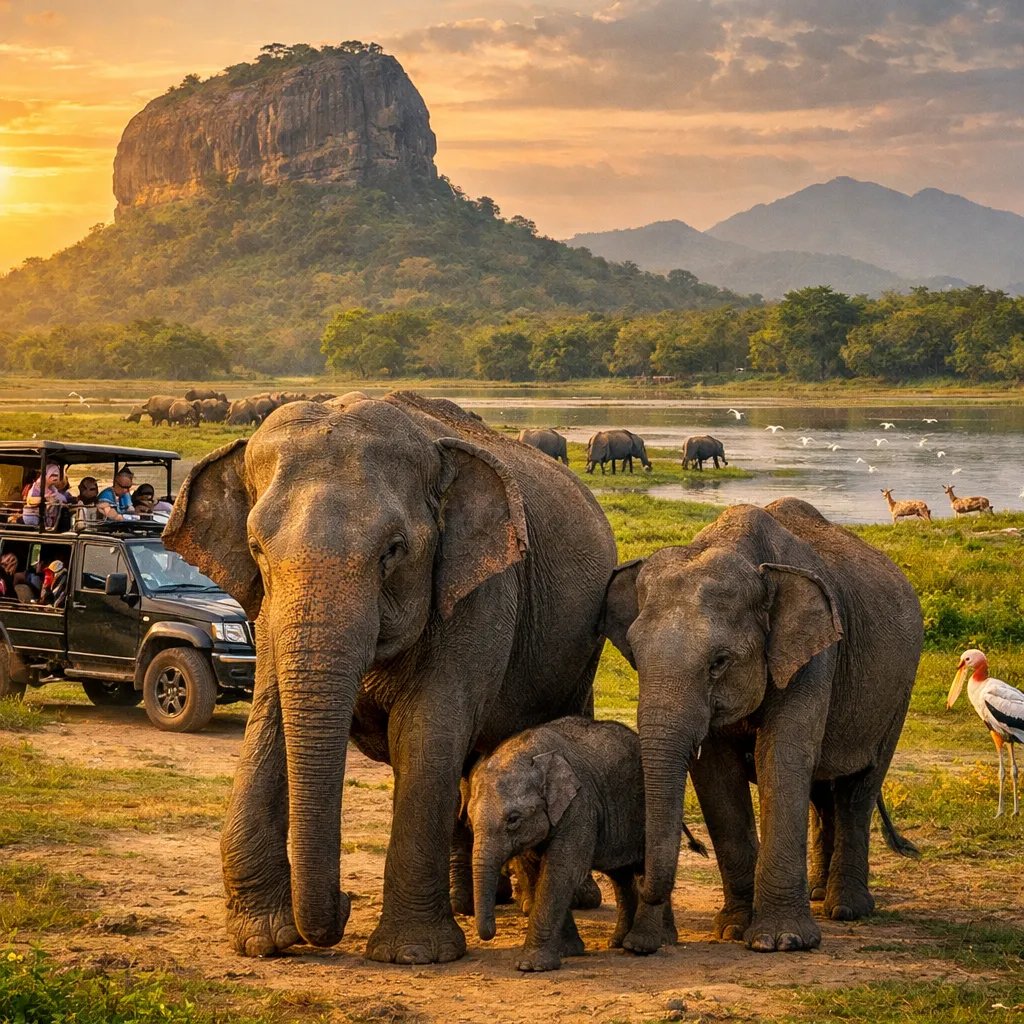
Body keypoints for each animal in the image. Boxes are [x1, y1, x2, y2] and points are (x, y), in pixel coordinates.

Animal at [162, 391, 618, 964]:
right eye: (257, 550)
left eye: (393, 550)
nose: (343, 903)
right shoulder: (263, 609)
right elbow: (270, 721)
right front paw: (264, 941)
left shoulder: (484, 592)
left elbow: (425, 733)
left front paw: (413, 955)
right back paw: (470, 902)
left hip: (583, 646)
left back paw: (570, 899)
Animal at [467, 716, 697, 972]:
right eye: (469, 819)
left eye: (513, 819)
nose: (489, 933)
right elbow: (539, 872)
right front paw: (568, 951)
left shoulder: (580, 806)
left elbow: (561, 872)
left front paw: (531, 966)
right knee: (621, 874)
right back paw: (626, 941)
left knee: (643, 865)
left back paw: (640, 946)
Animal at [602, 497, 922, 954]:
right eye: (634, 653)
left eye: (719, 662)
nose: (637, 942)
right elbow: (714, 775)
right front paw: (733, 929)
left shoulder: (813, 656)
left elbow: (782, 759)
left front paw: (782, 941)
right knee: (822, 790)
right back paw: (818, 894)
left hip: (898, 692)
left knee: (858, 790)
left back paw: (846, 908)